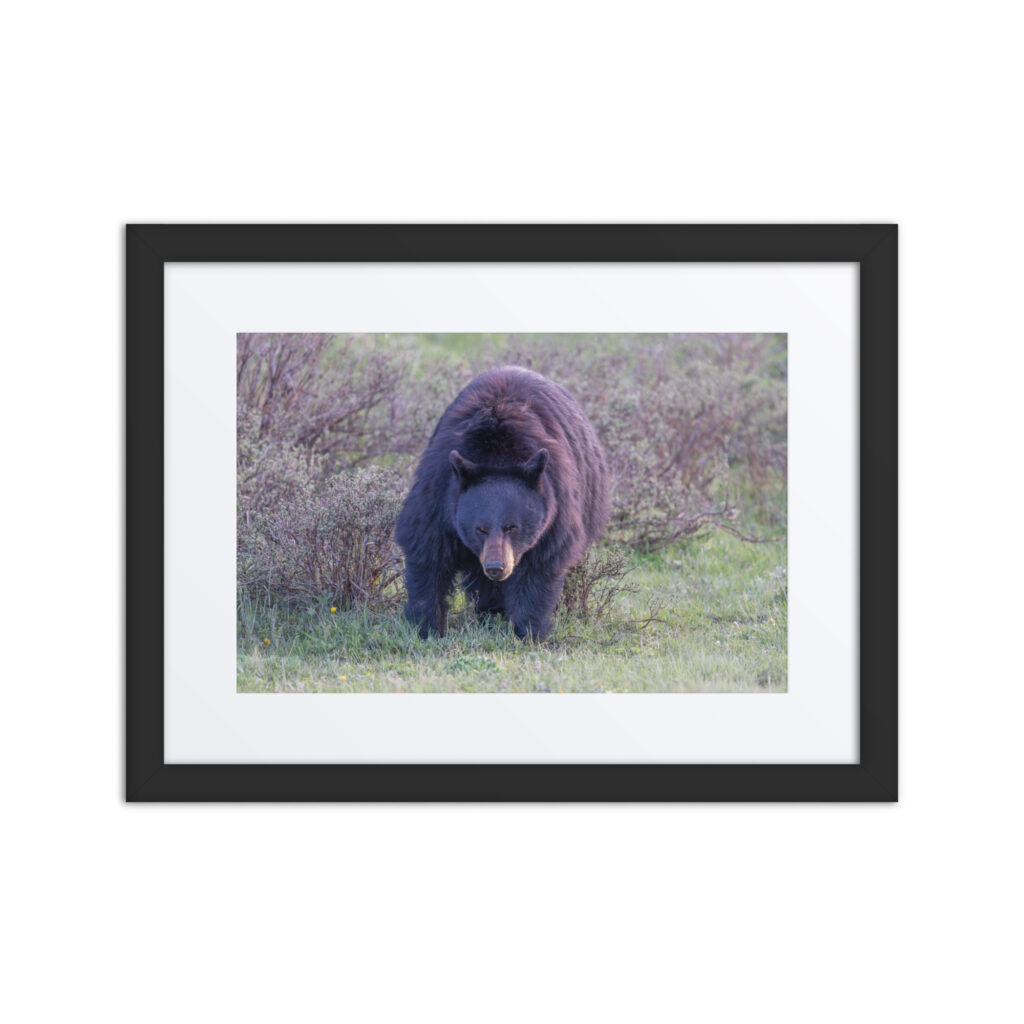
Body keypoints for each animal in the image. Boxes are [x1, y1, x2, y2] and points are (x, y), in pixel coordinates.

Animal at [394, 366, 610, 641]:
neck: (497, 454)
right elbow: (427, 551)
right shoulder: (440, 494)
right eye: (480, 529)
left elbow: (541, 564)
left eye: (512, 527)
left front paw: (529, 631)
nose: (496, 567)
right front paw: (426, 627)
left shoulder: (556, 503)